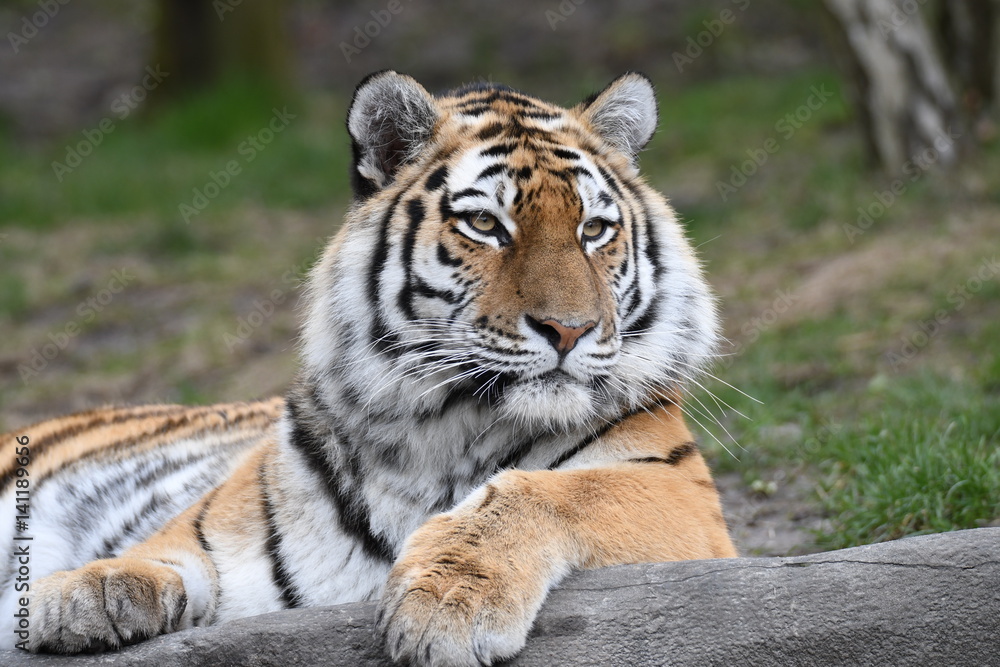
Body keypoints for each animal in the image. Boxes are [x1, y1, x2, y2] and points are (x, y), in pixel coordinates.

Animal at [1, 70, 736, 666]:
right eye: (485, 225)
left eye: (594, 230)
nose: (570, 329)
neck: (446, 425)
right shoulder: (221, 527)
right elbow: (166, 546)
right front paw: (83, 592)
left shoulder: (684, 497)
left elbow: (547, 491)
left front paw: (449, 600)